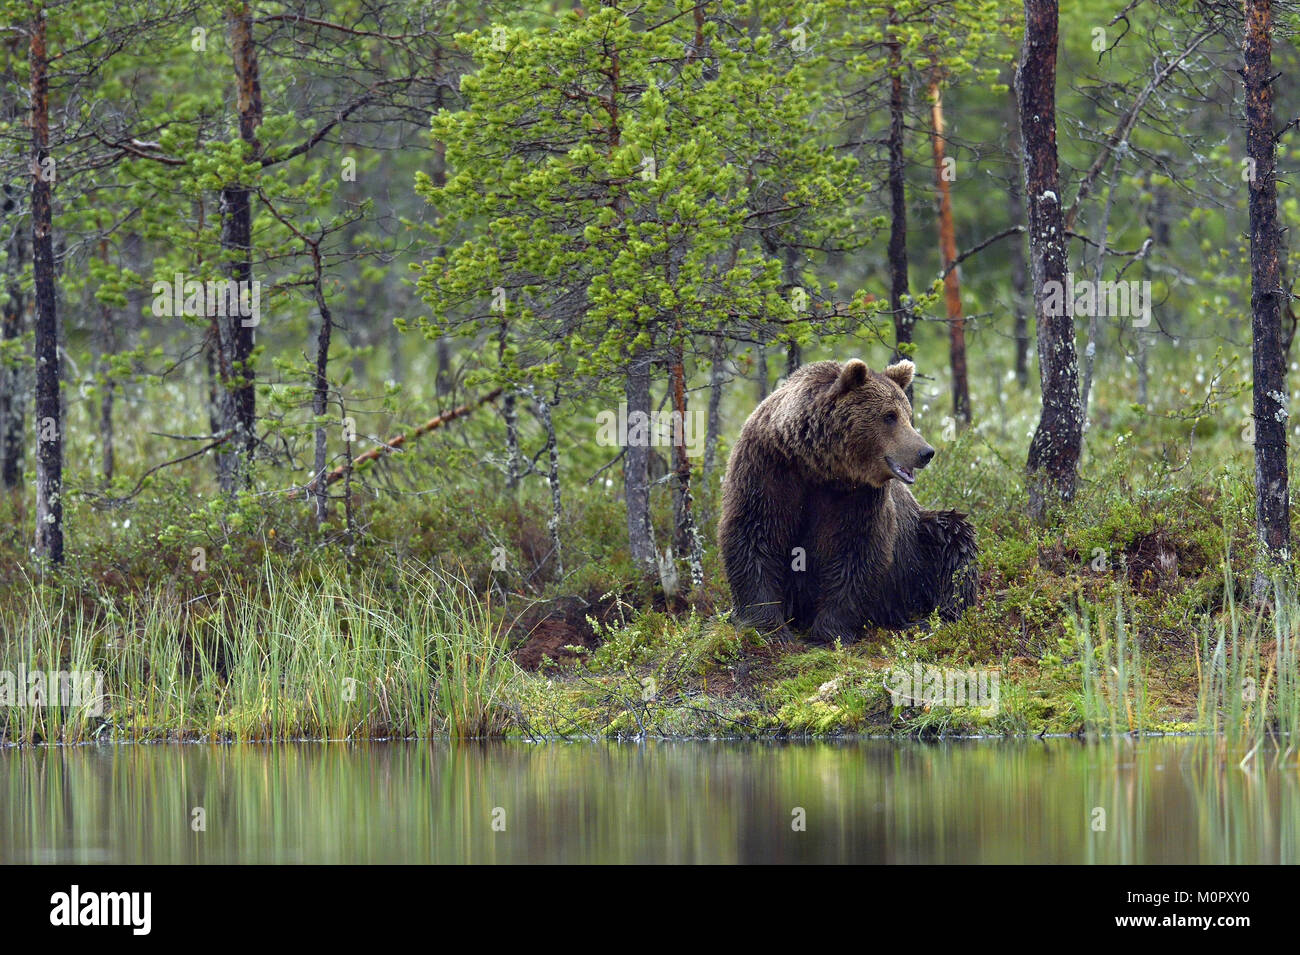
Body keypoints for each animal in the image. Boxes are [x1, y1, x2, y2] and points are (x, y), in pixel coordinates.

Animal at [718, 358, 977, 644]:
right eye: (890, 416)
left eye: (908, 415)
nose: (926, 452)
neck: (818, 465)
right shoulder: (768, 468)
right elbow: (754, 533)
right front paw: (768, 627)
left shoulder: (857, 496)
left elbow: (856, 549)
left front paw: (829, 631)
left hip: (919, 540)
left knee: (954, 546)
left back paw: (934, 616)